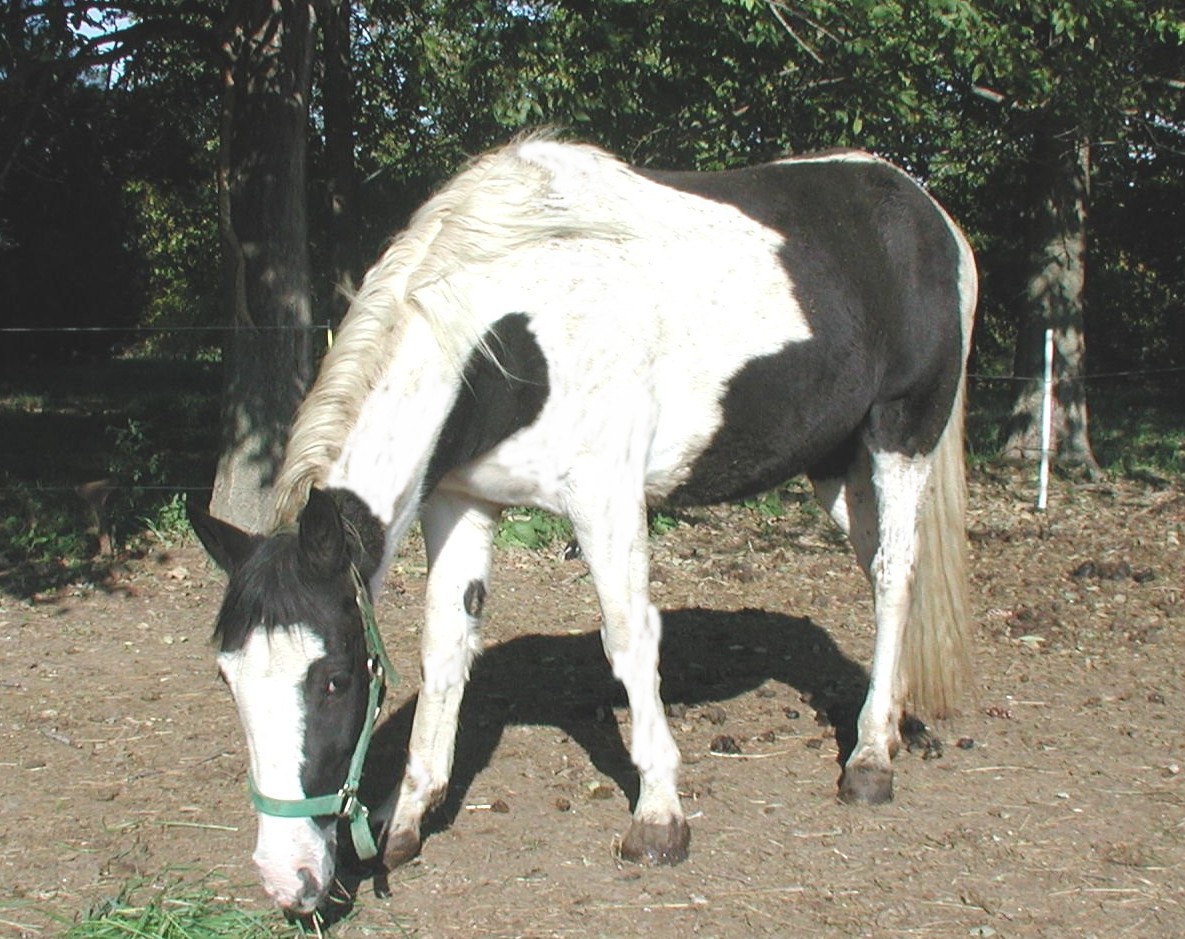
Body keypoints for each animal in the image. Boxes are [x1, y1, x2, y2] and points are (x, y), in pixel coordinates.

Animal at [188, 136, 977, 915]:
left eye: (335, 679)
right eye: (227, 676)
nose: (287, 881)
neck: (511, 329)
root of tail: (929, 214)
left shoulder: (606, 497)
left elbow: (628, 640)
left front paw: (658, 818)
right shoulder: (458, 504)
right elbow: (445, 649)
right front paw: (404, 817)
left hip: (900, 434)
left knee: (893, 576)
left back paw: (869, 761)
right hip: (834, 466)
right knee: (883, 567)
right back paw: (896, 724)